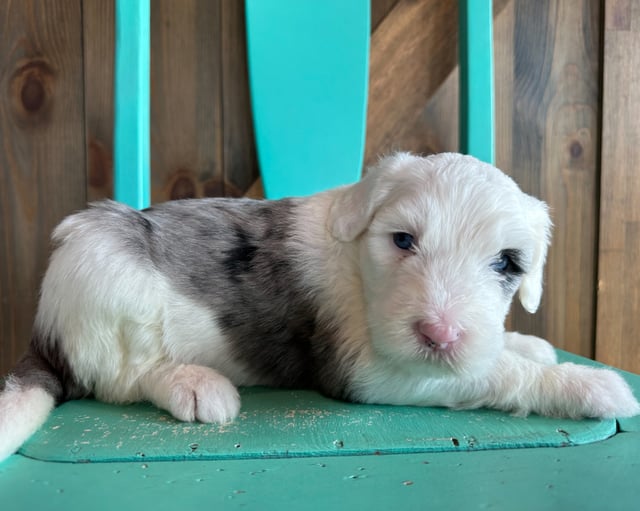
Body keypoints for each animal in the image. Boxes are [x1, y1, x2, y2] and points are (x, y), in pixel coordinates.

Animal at [1, 152, 640, 460]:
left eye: (508, 264)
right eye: (402, 241)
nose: (439, 336)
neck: (357, 267)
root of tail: (45, 331)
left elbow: (494, 354)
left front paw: (529, 343)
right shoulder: (373, 373)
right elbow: (495, 374)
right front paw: (588, 384)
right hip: (106, 273)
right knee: (120, 379)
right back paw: (194, 384)